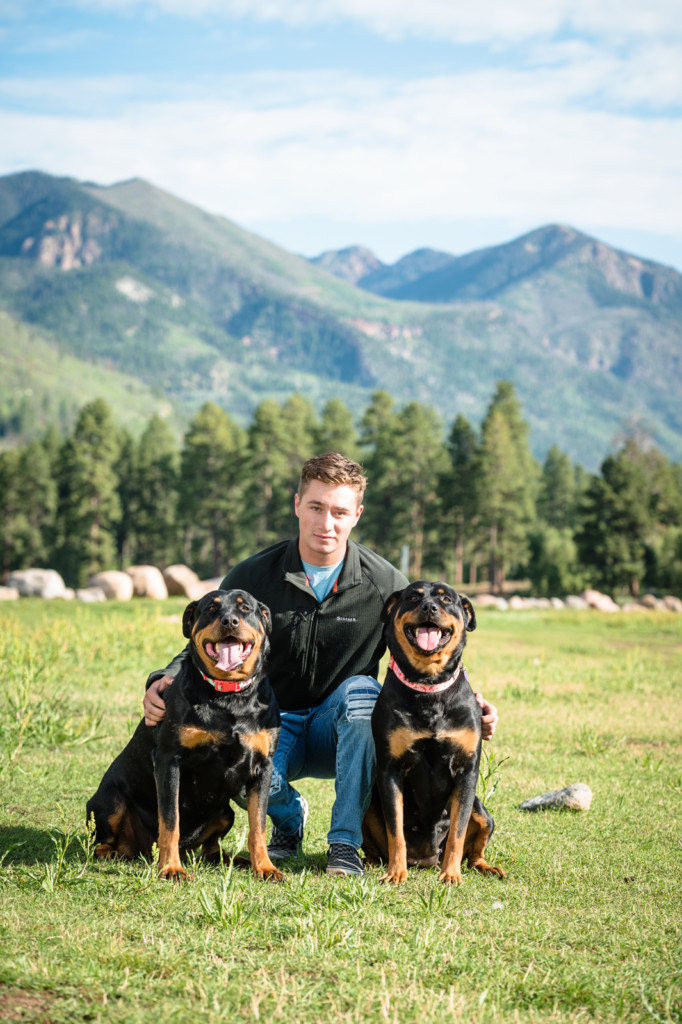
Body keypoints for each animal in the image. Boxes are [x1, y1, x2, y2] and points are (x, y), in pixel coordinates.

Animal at [85, 593, 280, 880]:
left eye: (245, 608)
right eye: (211, 608)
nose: (230, 621)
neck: (229, 696)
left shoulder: (263, 766)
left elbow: (259, 825)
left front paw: (265, 867)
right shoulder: (168, 759)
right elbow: (169, 820)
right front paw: (170, 868)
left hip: (225, 813)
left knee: (211, 848)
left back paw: (234, 860)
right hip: (109, 801)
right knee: (103, 841)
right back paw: (114, 853)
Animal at [364, 581, 501, 884]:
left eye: (447, 599)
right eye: (413, 597)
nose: (429, 607)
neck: (429, 685)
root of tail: (426, 859)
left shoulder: (466, 770)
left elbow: (458, 833)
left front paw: (451, 874)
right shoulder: (390, 769)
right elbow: (395, 830)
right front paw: (396, 872)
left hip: (482, 812)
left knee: (474, 849)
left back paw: (486, 867)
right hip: (368, 806)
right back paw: (369, 863)